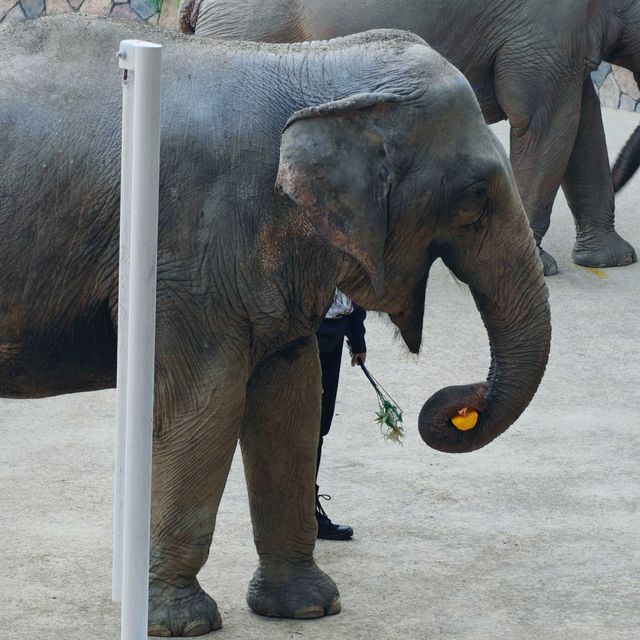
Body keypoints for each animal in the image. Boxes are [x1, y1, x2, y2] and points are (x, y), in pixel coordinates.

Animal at [0, 14, 551, 637]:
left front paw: (310, 608)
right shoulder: (187, 254)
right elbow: (204, 409)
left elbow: (293, 403)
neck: (310, 71)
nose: (458, 404)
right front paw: (184, 624)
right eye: (475, 196)